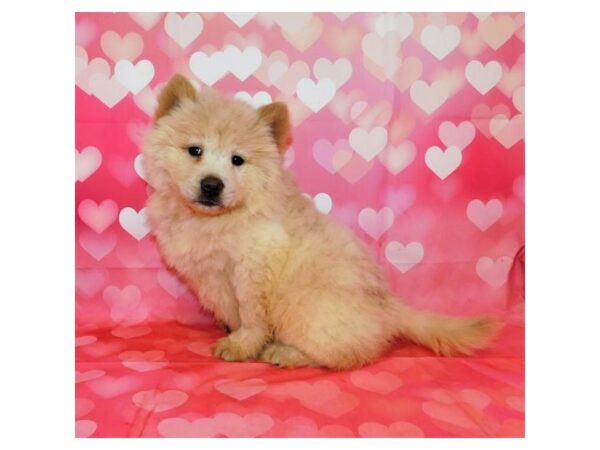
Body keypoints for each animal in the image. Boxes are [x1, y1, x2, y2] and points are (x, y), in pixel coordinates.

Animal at [142, 74, 502, 370]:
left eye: (237, 160)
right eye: (194, 150)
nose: (211, 185)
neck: (217, 219)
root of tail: (389, 308)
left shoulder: (254, 269)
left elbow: (251, 315)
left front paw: (241, 344)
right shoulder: (208, 276)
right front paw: (231, 331)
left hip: (305, 307)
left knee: (347, 355)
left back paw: (286, 354)